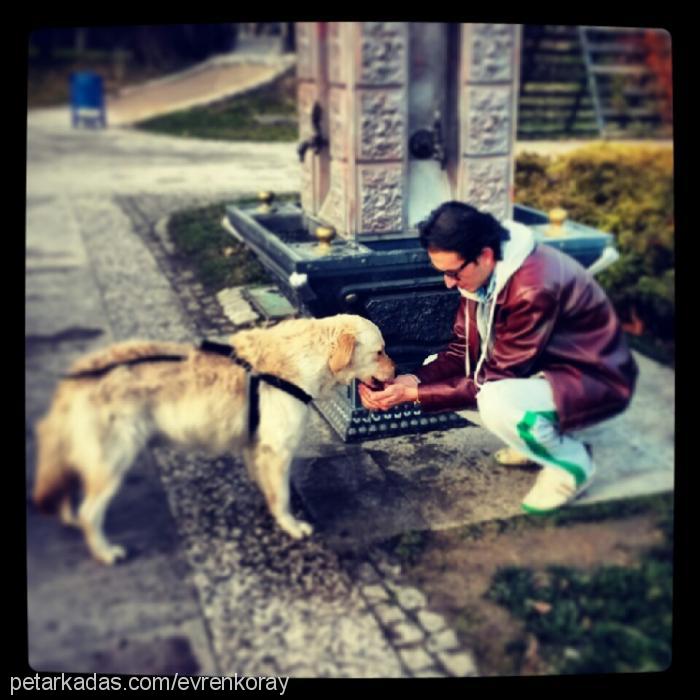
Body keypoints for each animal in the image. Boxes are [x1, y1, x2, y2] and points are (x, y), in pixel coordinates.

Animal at [34, 314, 394, 568]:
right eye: (380, 351)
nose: (397, 370)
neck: (302, 358)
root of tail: (76, 376)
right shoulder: (277, 449)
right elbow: (282, 496)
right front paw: (291, 525)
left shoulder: (257, 444)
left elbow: (268, 487)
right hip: (114, 458)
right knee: (89, 512)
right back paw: (106, 551)